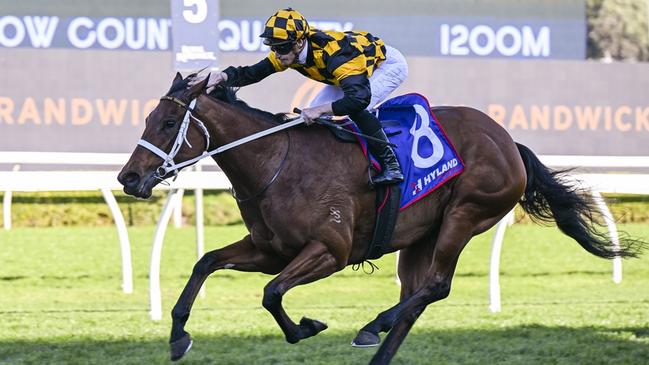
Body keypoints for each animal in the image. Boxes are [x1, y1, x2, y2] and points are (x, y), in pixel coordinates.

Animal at [117, 72, 644, 362]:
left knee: (436, 287)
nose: (128, 178)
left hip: (467, 214)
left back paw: (373, 324)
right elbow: (206, 263)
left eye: (168, 123)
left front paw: (306, 327)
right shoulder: (270, 250)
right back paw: (380, 337)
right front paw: (178, 337)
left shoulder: (329, 251)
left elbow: (271, 294)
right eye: (147, 120)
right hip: (420, 237)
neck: (275, 162)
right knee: (416, 298)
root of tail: (508, 140)